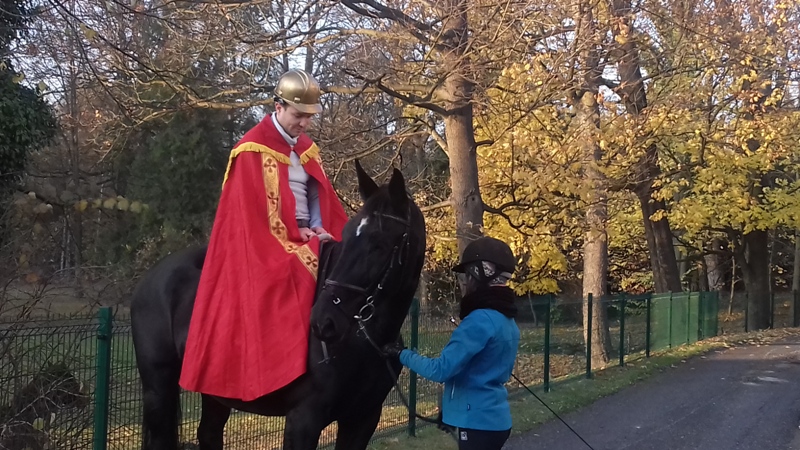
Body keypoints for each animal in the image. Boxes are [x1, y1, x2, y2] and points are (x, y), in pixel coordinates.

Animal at [130, 160, 426, 450]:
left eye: (379, 244)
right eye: (347, 236)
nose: (323, 321)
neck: (361, 342)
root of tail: (151, 278)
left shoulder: (363, 420)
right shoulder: (303, 420)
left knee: (209, 434)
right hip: (158, 388)